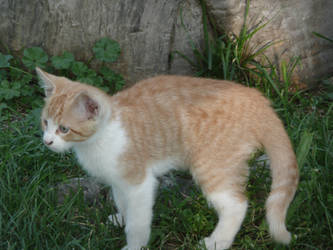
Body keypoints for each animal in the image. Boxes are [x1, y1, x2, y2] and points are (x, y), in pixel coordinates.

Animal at [37, 67, 298, 249]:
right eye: (45, 122)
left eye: (64, 129)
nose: (47, 141)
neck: (100, 138)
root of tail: (257, 98)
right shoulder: (118, 180)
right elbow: (122, 201)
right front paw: (121, 218)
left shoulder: (139, 182)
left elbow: (138, 221)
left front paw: (134, 245)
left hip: (213, 166)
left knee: (236, 204)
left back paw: (216, 242)